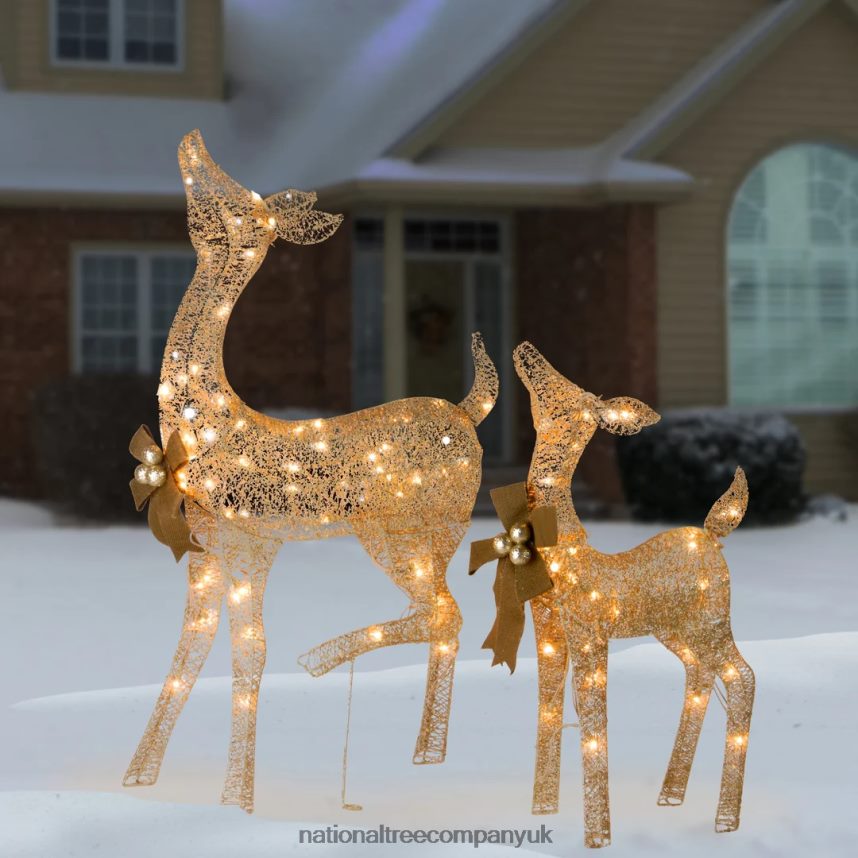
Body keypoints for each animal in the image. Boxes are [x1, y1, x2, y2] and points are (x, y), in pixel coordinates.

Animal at [123, 130, 499, 813]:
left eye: (240, 203)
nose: (193, 143)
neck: (207, 423)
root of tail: (467, 413)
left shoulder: (252, 543)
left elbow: (250, 650)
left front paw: (237, 800)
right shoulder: (207, 547)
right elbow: (191, 647)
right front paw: (140, 778)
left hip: (397, 530)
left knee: (444, 611)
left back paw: (323, 658)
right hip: (439, 535)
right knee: (447, 616)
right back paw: (426, 754)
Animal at [510, 341, 754, 848]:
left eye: (566, 392)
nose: (527, 350)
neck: (565, 550)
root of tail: (713, 535)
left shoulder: (590, 633)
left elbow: (594, 718)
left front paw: (598, 836)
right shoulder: (549, 633)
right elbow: (548, 706)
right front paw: (542, 810)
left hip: (712, 621)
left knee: (743, 677)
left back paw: (725, 820)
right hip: (677, 630)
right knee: (700, 676)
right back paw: (671, 794)